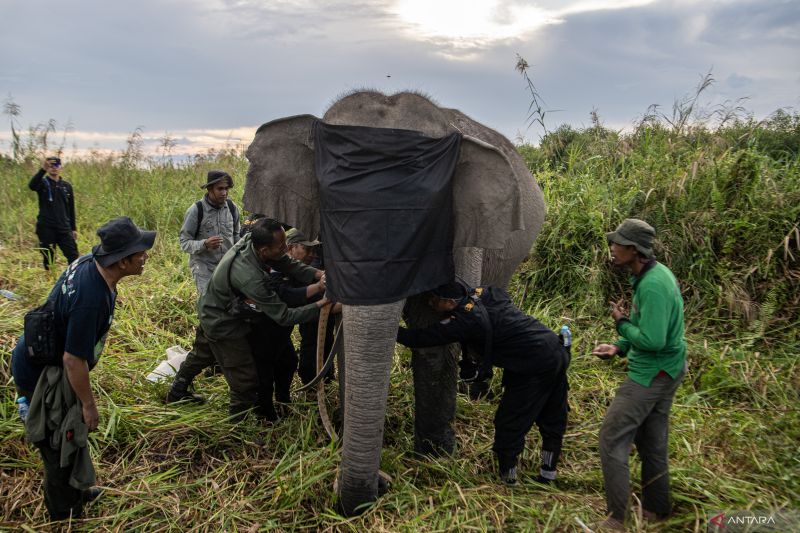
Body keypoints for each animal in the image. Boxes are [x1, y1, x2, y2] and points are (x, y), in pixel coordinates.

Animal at [244, 89, 544, 512]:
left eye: (424, 220)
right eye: (332, 214)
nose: (382, 484)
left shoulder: (461, 232)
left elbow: (438, 331)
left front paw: (435, 458)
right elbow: (351, 341)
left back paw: (475, 393)